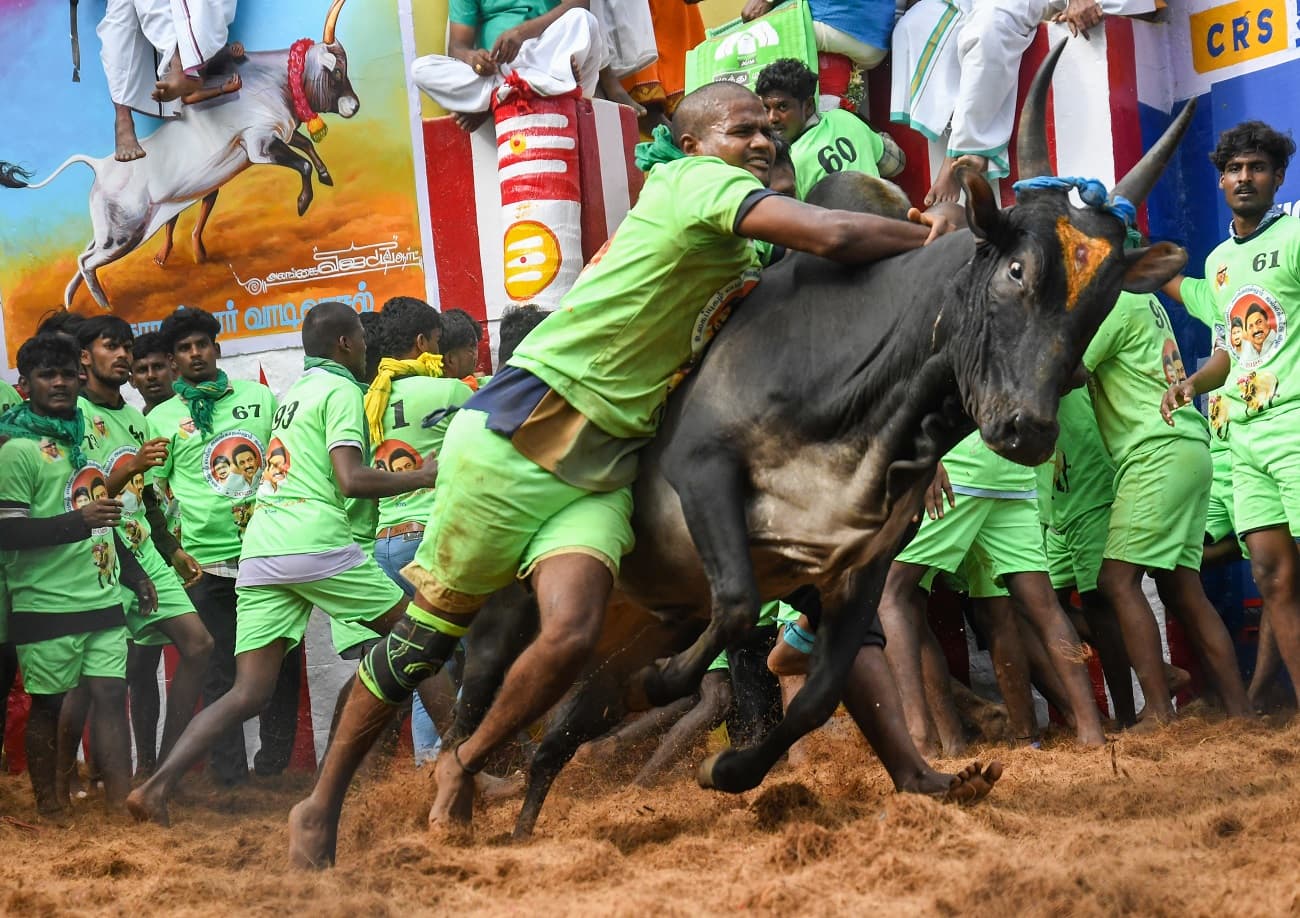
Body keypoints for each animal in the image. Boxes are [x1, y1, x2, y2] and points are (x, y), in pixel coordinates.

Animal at [0, 0, 356, 310]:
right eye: (337, 70)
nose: (354, 106)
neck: (274, 79)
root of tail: (100, 165)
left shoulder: (280, 133)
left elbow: (307, 147)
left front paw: (326, 176)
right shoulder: (260, 144)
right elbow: (302, 163)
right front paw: (302, 203)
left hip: (110, 232)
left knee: (83, 256)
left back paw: (71, 301)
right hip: (123, 234)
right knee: (86, 260)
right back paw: (104, 304)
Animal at [447, 44, 1196, 837]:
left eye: (1101, 305)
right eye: (1018, 270)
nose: (1028, 428)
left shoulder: (857, 565)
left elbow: (819, 691)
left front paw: (729, 769)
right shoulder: (702, 469)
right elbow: (737, 607)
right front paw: (678, 688)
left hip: (642, 619)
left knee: (559, 734)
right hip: (512, 610)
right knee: (478, 702)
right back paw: (452, 797)